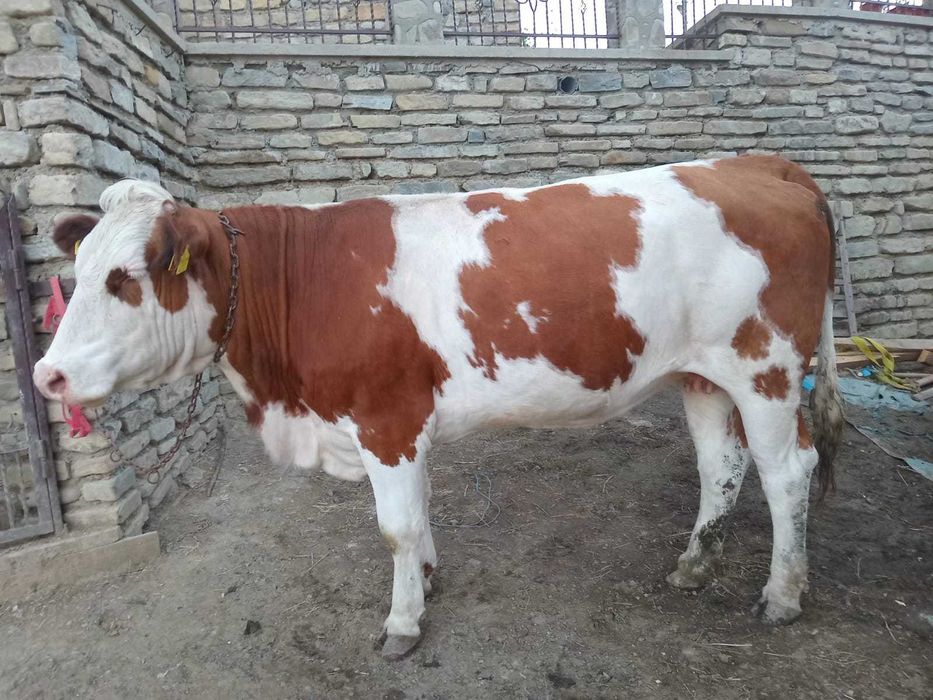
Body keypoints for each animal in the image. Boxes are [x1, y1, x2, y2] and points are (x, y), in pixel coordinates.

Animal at [34, 155, 844, 659]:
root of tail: (756, 162)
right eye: (76, 270)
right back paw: (695, 564)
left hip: (767, 367)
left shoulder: (386, 418)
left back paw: (782, 594)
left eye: (123, 278)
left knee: (786, 472)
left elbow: (394, 525)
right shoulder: (402, 421)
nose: (48, 375)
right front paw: (424, 581)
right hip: (701, 372)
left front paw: (401, 621)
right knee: (721, 465)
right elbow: (418, 513)